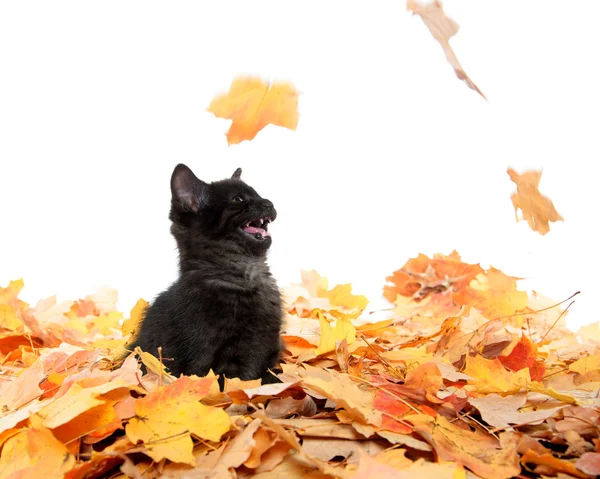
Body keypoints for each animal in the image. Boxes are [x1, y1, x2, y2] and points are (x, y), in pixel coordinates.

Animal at [127, 163, 282, 388]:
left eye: (258, 194)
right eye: (238, 200)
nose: (269, 203)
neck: (244, 277)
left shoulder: (263, 344)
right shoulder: (202, 351)